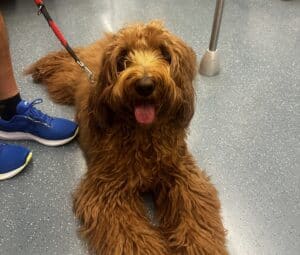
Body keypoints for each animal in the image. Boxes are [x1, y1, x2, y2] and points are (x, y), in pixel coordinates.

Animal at [26, 20, 227, 255]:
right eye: (123, 58)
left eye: (165, 54)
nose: (145, 85)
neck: (145, 135)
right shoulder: (108, 189)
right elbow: (131, 236)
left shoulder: (184, 176)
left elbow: (196, 216)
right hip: (66, 79)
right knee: (65, 58)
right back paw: (41, 67)